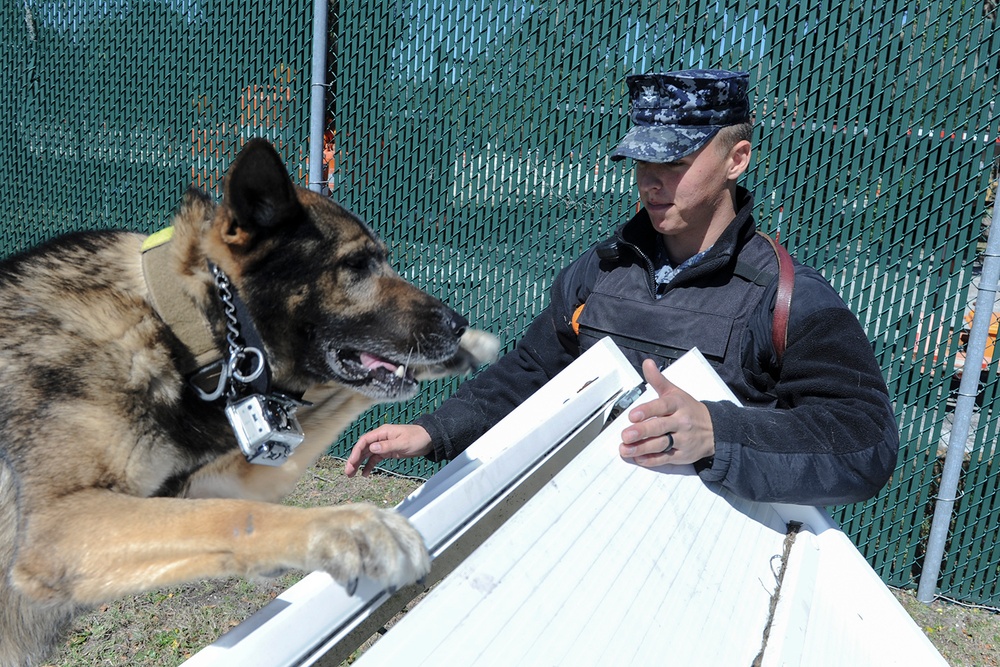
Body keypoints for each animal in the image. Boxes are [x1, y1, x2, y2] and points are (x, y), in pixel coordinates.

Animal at [0, 138, 498, 664]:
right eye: (357, 265)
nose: (459, 325)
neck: (177, 328)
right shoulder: (58, 529)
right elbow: (235, 516)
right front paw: (350, 527)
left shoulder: (211, 485)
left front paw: (465, 352)